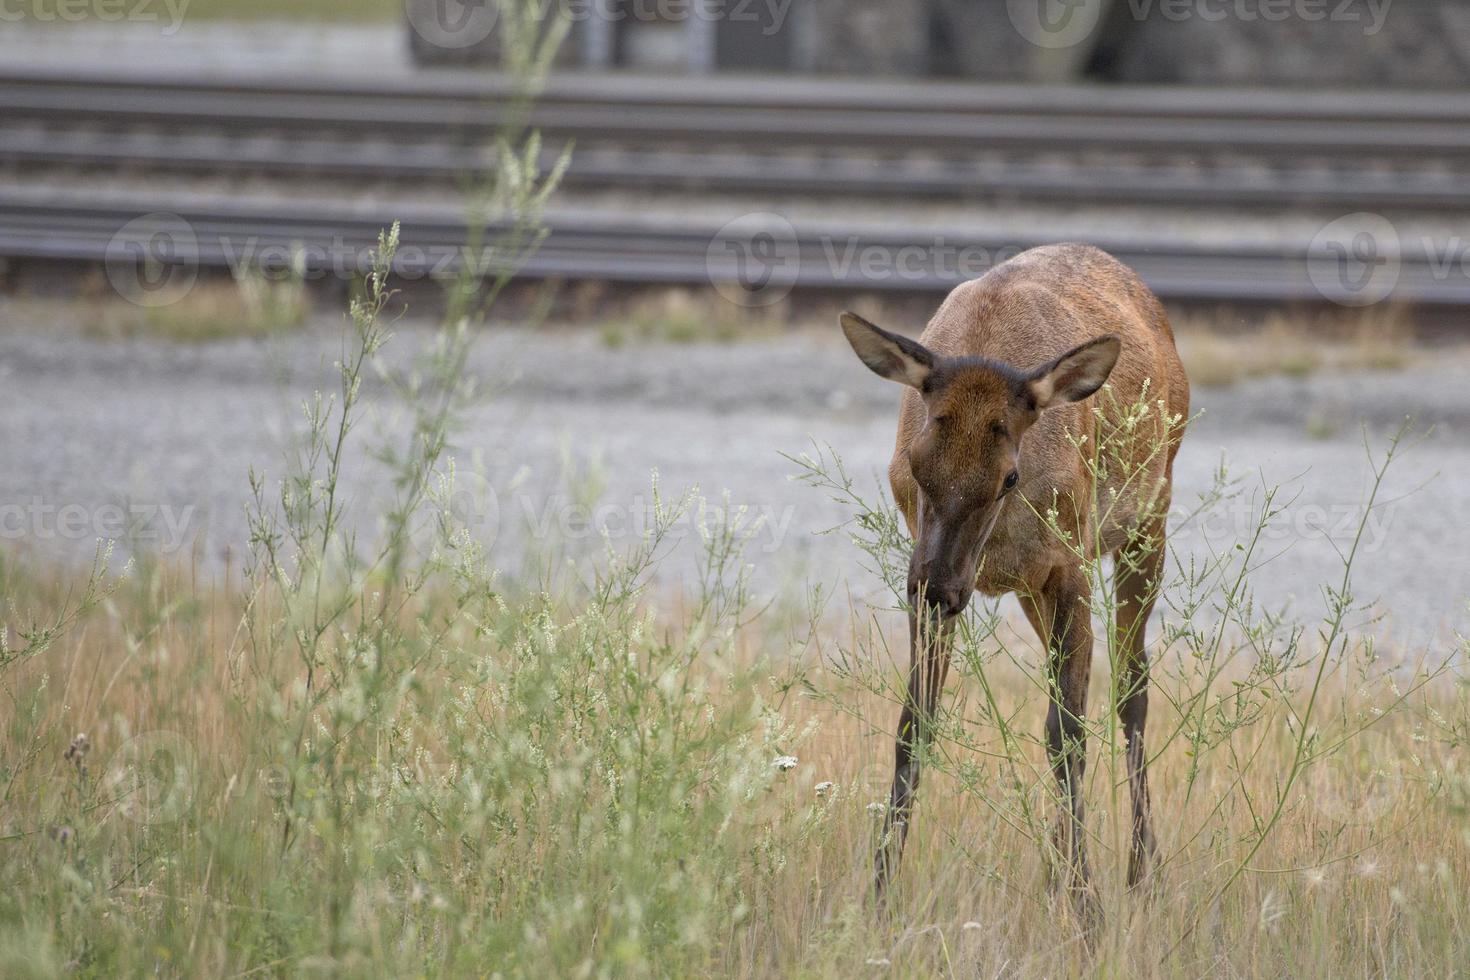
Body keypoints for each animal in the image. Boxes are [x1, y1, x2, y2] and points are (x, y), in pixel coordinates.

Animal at [846, 243, 1187, 910]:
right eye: (915, 465)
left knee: (1131, 689)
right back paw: (1060, 870)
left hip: (1150, 517)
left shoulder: (1070, 562)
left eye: (1009, 474)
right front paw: (876, 895)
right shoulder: (939, 576)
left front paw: (1087, 907)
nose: (938, 588)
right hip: (1031, 587)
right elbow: (913, 725)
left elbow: (1069, 735)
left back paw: (1142, 874)